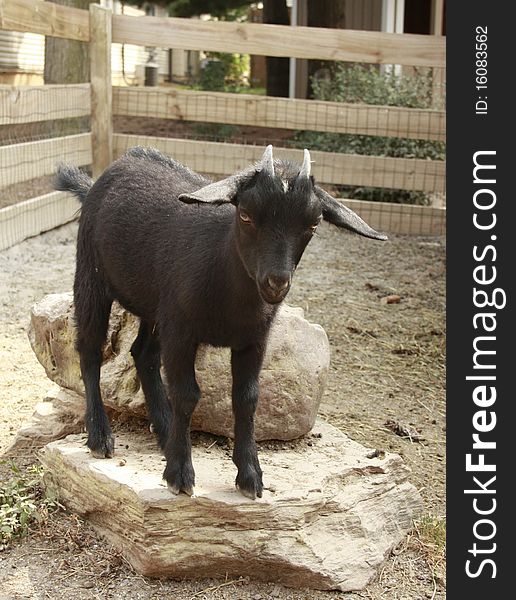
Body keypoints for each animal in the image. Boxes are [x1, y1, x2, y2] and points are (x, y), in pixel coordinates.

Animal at [56, 146, 388, 502]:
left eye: (313, 224)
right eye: (245, 215)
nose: (276, 282)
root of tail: (100, 178)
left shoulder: (254, 339)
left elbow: (247, 398)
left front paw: (250, 475)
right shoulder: (181, 332)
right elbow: (187, 394)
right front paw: (179, 474)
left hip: (157, 306)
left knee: (143, 354)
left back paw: (164, 431)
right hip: (91, 274)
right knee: (89, 350)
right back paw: (100, 436)